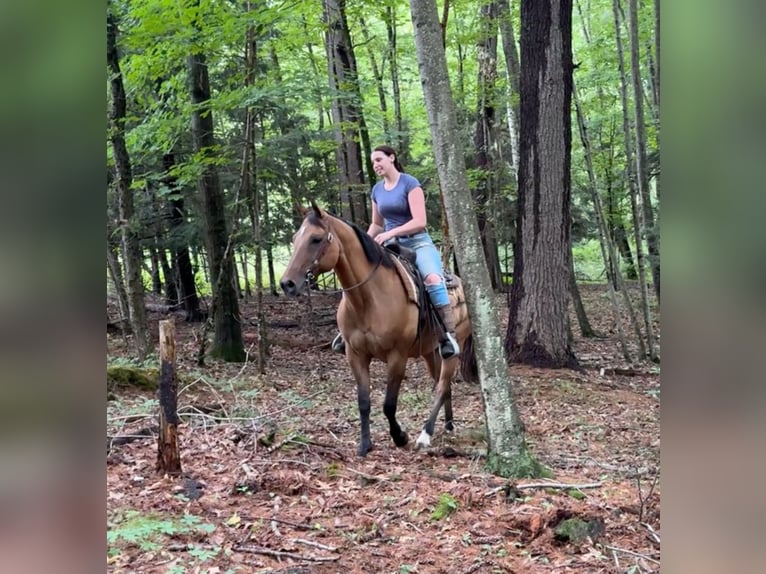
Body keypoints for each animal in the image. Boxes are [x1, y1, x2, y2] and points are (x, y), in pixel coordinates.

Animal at [280, 202, 476, 460]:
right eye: (295, 238)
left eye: (316, 239)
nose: (287, 284)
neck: (369, 299)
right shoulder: (355, 354)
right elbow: (364, 401)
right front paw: (365, 445)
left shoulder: (397, 356)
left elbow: (389, 404)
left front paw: (400, 437)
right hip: (430, 350)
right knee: (442, 387)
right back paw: (448, 425)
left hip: (455, 347)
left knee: (442, 385)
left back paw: (425, 435)